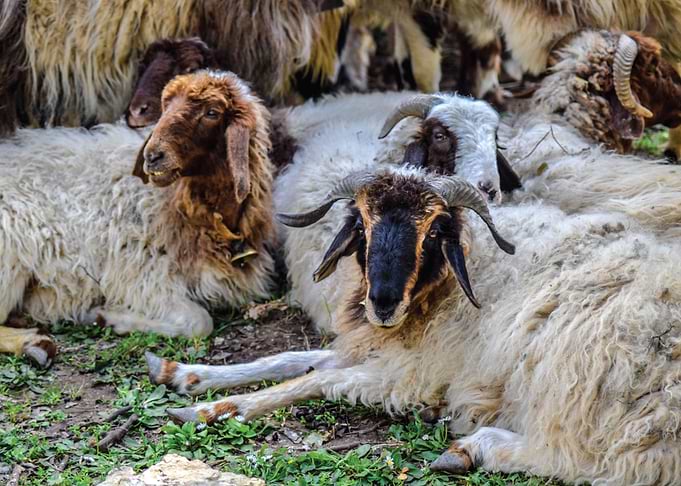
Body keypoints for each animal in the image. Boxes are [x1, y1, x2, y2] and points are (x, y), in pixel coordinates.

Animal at [0, 70, 275, 367]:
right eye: (166, 106)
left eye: (212, 112)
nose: (152, 156)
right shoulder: (141, 276)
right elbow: (199, 322)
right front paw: (108, 317)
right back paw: (33, 344)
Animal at [149, 164, 681, 485]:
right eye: (361, 225)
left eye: (433, 233)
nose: (381, 302)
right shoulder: (386, 347)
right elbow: (297, 357)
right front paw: (186, 375)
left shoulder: (418, 375)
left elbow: (318, 380)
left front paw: (215, 409)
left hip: (578, 379)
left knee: (594, 461)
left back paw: (474, 449)